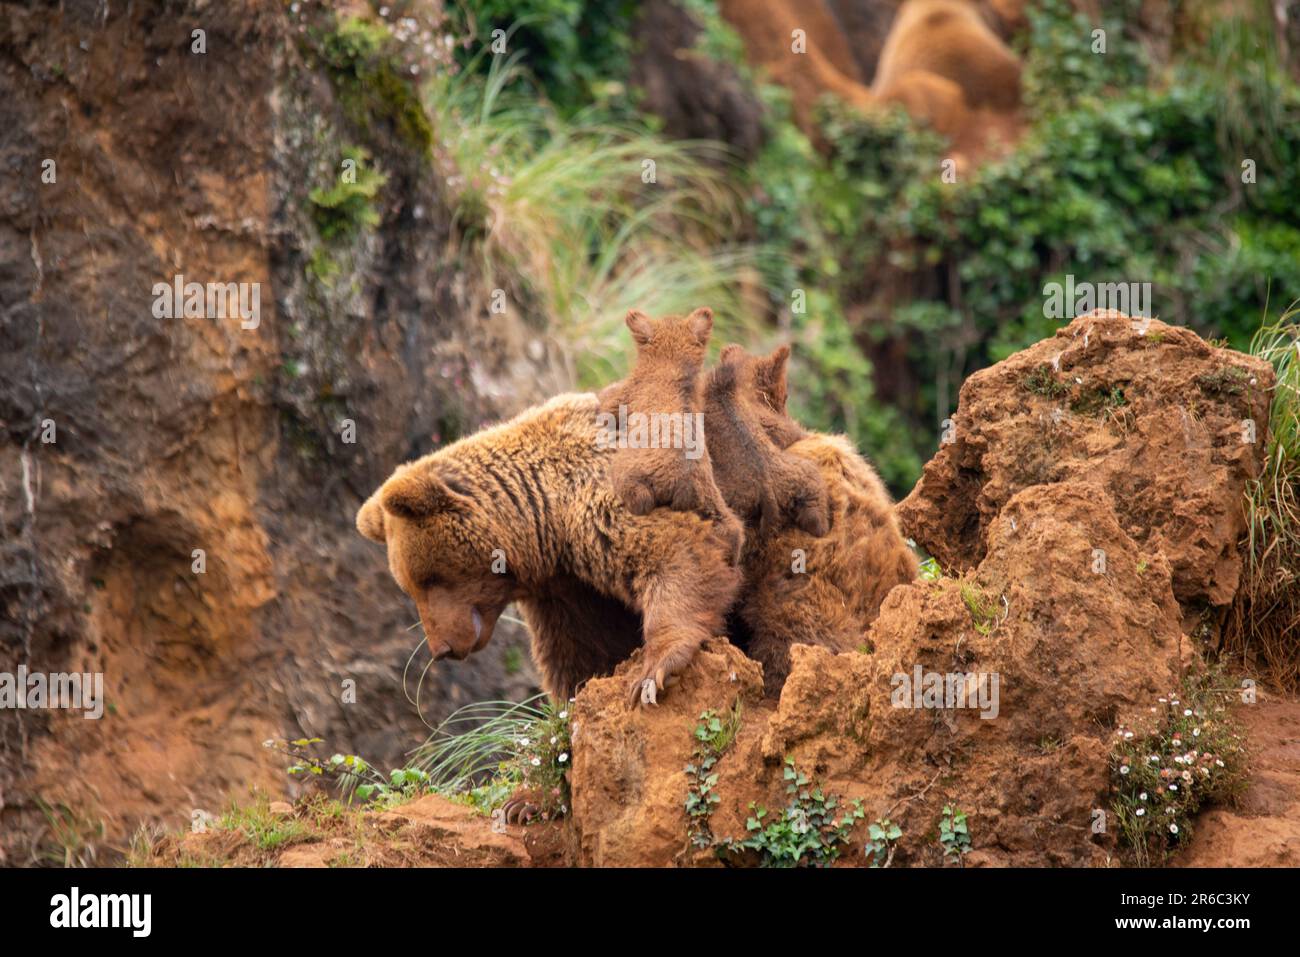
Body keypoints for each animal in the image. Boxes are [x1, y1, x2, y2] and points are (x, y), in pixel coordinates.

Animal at [355, 392, 742, 708]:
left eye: (430, 579)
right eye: (409, 588)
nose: (441, 649)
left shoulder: (604, 495)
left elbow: (676, 548)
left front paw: (654, 671)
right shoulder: (566, 594)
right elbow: (582, 655)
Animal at [599, 307, 744, 559]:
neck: (672, 367)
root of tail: (682, 483)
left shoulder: (621, 399)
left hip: (627, 477)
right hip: (714, 506)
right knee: (734, 532)